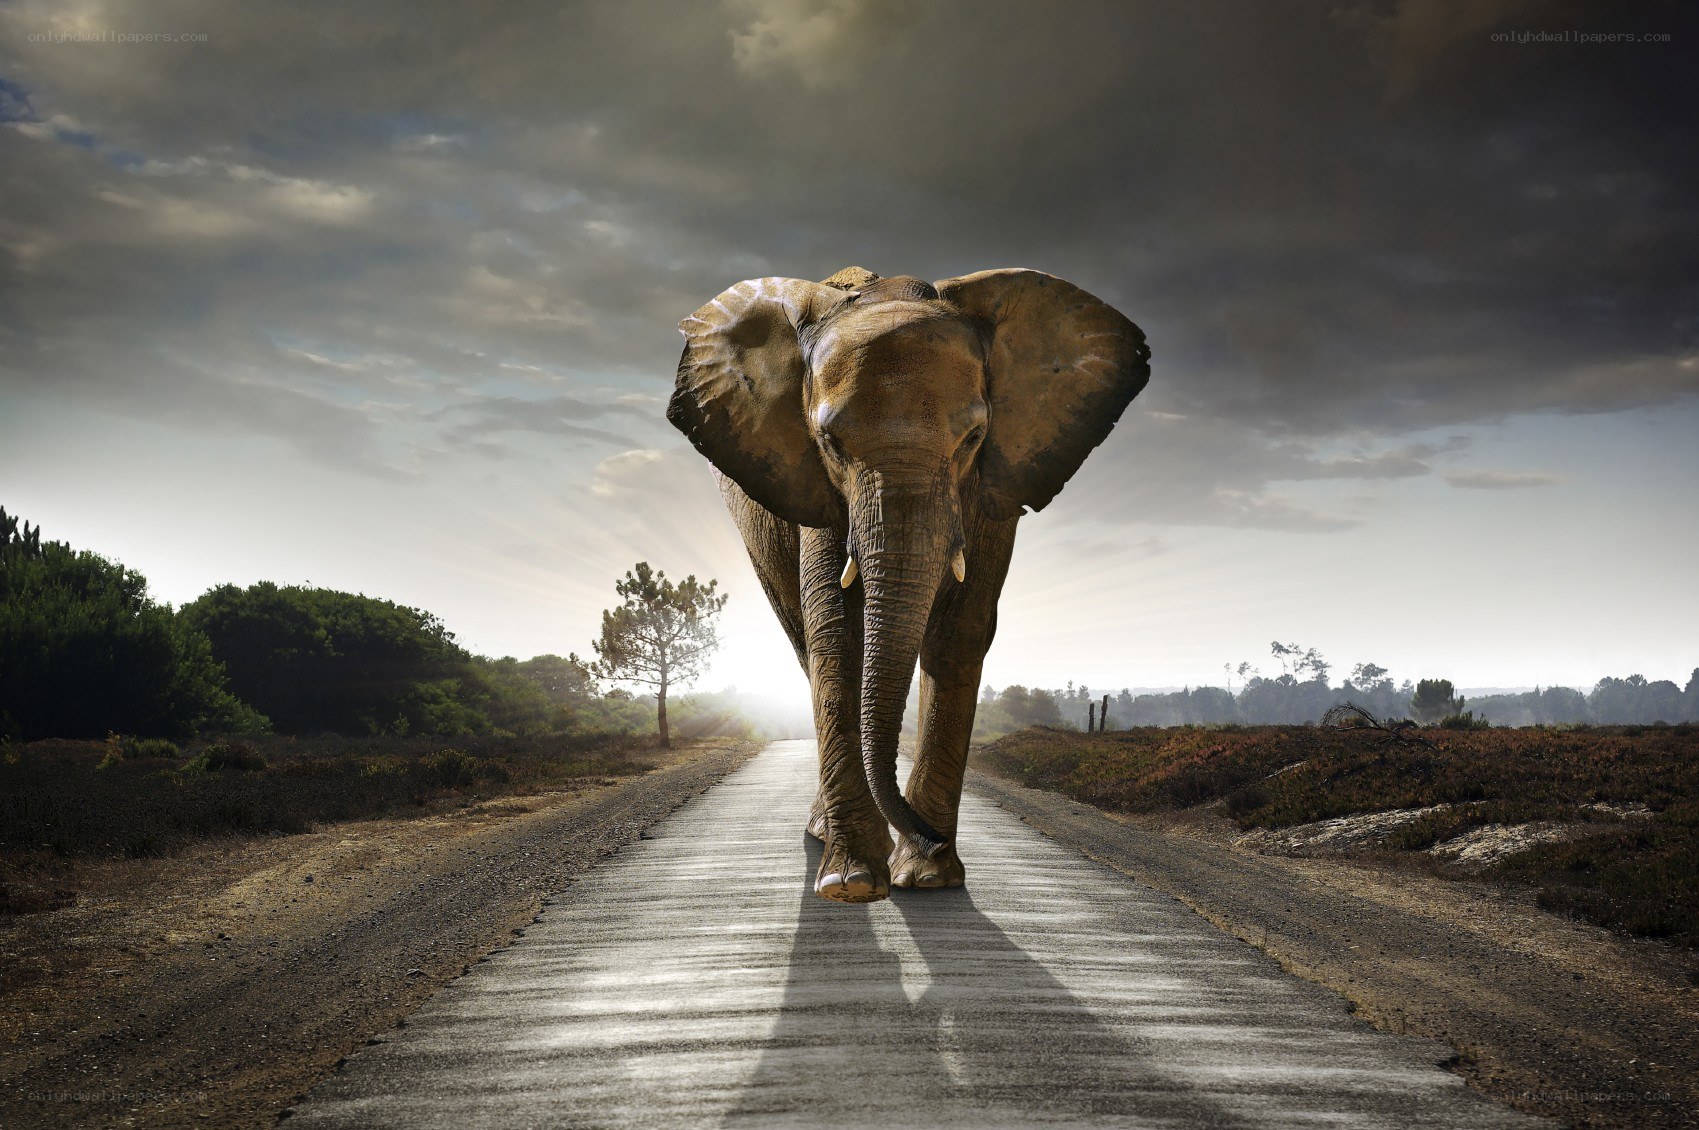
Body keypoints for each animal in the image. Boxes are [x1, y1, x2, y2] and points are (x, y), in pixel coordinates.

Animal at [668, 265, 1150, 903]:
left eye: (973, 438)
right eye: (830, 442)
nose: (930, 836)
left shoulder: (992, 488)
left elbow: (961, 630)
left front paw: (927, 877)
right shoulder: (818, 489)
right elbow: (836, 629)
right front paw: (852, 883)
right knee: (802, 641)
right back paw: (825, 836)